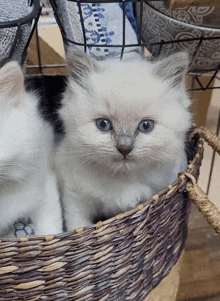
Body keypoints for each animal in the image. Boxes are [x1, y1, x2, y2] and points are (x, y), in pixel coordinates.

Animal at [55, 50, 192, 230]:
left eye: (146, 126)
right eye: (103, 124)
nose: (124, 148)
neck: (121, 179)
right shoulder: (76, 199)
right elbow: (77, 226)